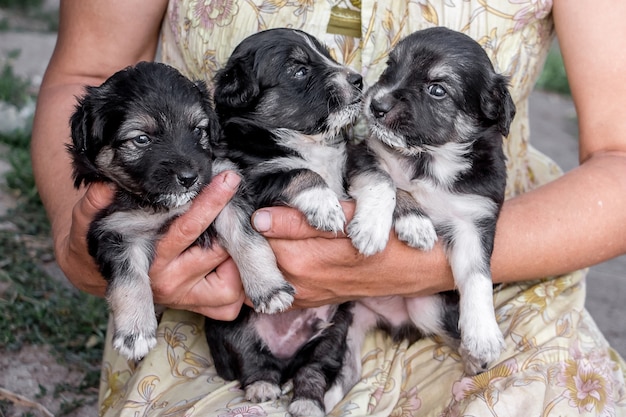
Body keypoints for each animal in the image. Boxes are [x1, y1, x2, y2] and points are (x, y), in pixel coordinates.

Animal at [67, 61, 294, 360]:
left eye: (198, 130)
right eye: (141, 139)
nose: (189, 178)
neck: (160, 204)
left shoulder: (227, 188)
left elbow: (247, 240)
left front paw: (269, 287)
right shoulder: (115, 230)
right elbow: (129, 280)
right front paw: (135, 332)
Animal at [205, 28, 360, 416]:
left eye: (327, 53)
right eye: (299, 70)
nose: (359, 80)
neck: (305, 140)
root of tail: (286, 356)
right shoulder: (253, 180)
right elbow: (300, 172)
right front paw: (326, 207)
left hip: (334, 331)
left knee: (314, 370)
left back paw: (306, 402)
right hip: (232, 326)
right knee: (251, 358)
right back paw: (262, 386)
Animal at [344, 26, 516, 380]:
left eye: (437, 89)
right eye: (390, 66)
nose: (376, 104)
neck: (432, 159)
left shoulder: (475, 220)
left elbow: (478, 275)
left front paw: (483, 333)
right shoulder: (364, 154)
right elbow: (388, 184)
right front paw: (380, 227)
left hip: (427, 307)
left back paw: (473, 359)